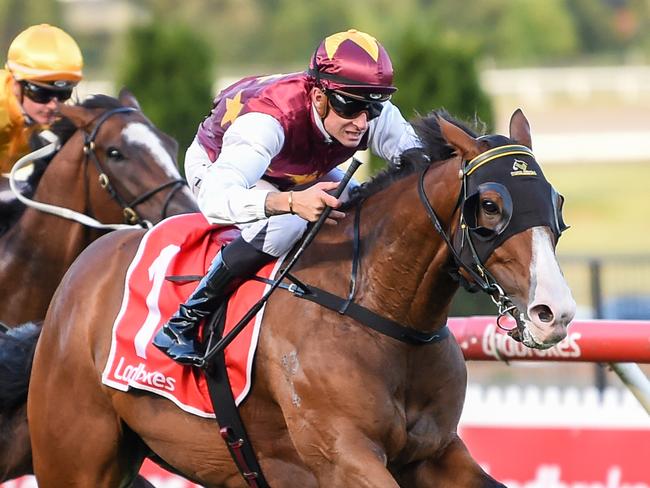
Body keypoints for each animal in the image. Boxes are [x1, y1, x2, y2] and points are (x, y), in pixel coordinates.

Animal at [25, 108, 572, 486]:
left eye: (556, 200)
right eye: (490, 205)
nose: (555, 314)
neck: (382, 313)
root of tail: (84, 266)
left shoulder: (436, 453)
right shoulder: (342, 456)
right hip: (73, 455)